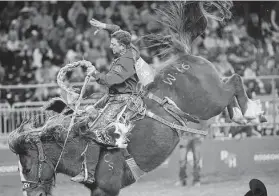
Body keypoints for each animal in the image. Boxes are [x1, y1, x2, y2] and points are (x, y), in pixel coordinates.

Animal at [8, 1, 266, 196]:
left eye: (27, 167)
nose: (34, 193)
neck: (79, 143)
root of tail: (185, 55)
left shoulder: (107, 189)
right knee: (232, 90)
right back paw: (240, 117)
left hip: (211, 101)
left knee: (235, 80)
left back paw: (250, 113)